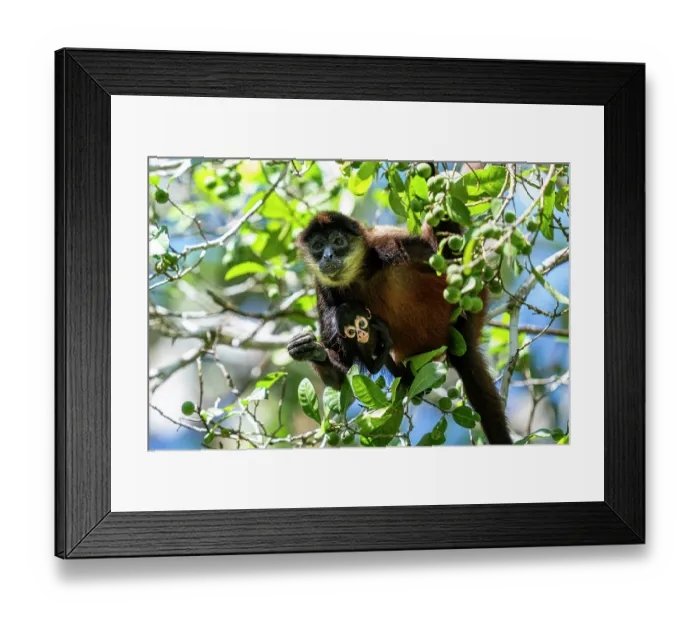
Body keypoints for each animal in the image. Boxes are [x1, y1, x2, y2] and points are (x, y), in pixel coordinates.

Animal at [287, 210, 512, 445]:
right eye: (318, 246)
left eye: (338, 242)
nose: (327, 256)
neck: (359, 274)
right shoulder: (322, 287)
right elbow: (341, 379)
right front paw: (311, 350)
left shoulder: (387, 245)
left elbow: (446, 258)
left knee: (466, 357)